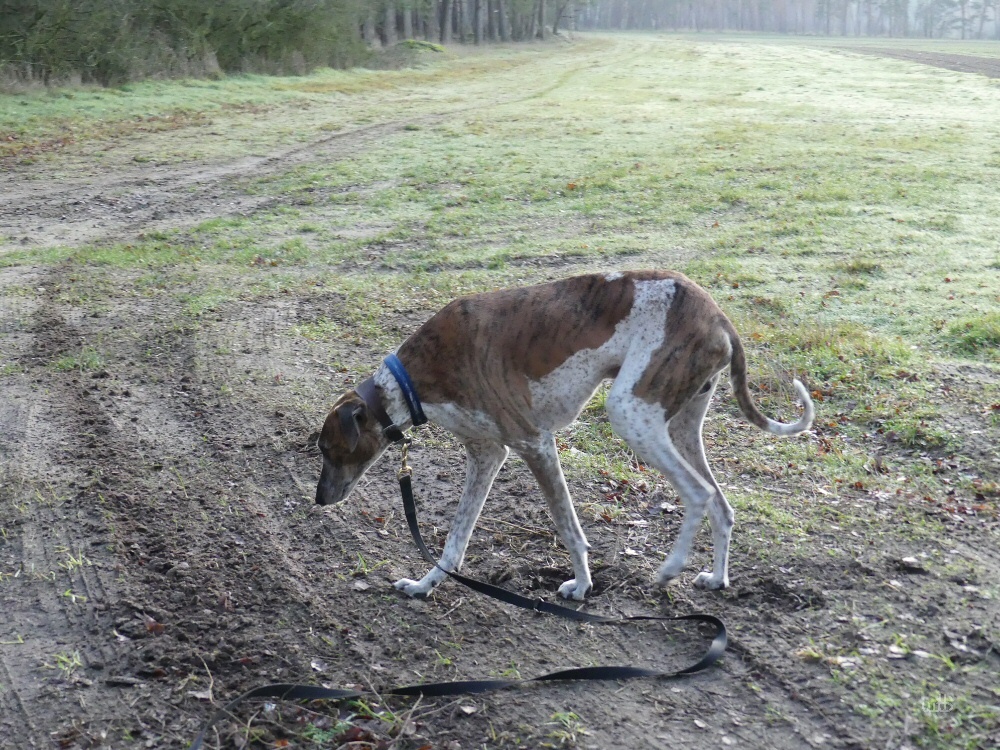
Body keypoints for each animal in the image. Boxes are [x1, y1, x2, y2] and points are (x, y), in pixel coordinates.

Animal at [316, 271, 813, 600]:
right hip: (680, 426)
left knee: (699, 493)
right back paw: (716, 578)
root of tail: (719, 315)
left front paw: (582, 585)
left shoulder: (534, 444)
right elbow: (455, 541)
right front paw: (425, 586)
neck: (411, 380)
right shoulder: (487, 455)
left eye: (327, 448)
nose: (319, 500)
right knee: (722, 506)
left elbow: (568, 527)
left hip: (631, 414)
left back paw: (669, 569)